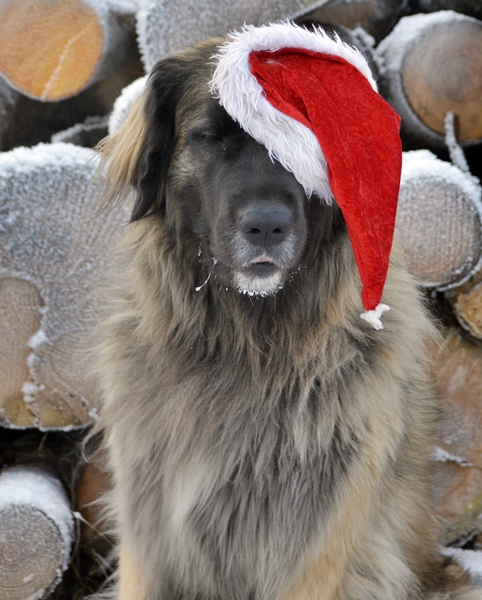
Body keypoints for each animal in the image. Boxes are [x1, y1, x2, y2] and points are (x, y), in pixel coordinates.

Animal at [95, 25, 482, 600]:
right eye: (210, 137)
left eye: (307, 154)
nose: (266, 226)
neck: (246, 346)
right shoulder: (151, 534)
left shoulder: (313, 546)